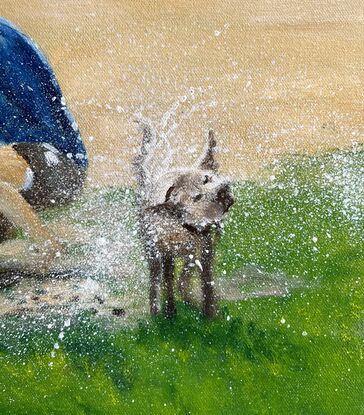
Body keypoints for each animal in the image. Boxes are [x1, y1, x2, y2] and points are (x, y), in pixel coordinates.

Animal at [136, 120, 233, 318]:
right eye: (197, 197)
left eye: (207, 178)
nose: (223, 190)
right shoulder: (169, 252)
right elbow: (173, 281)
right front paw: (173, 309)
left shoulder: (204, 250)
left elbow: (205, 280)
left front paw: (210, 311)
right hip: (154, 252)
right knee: (158, 278)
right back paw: (159, 311)